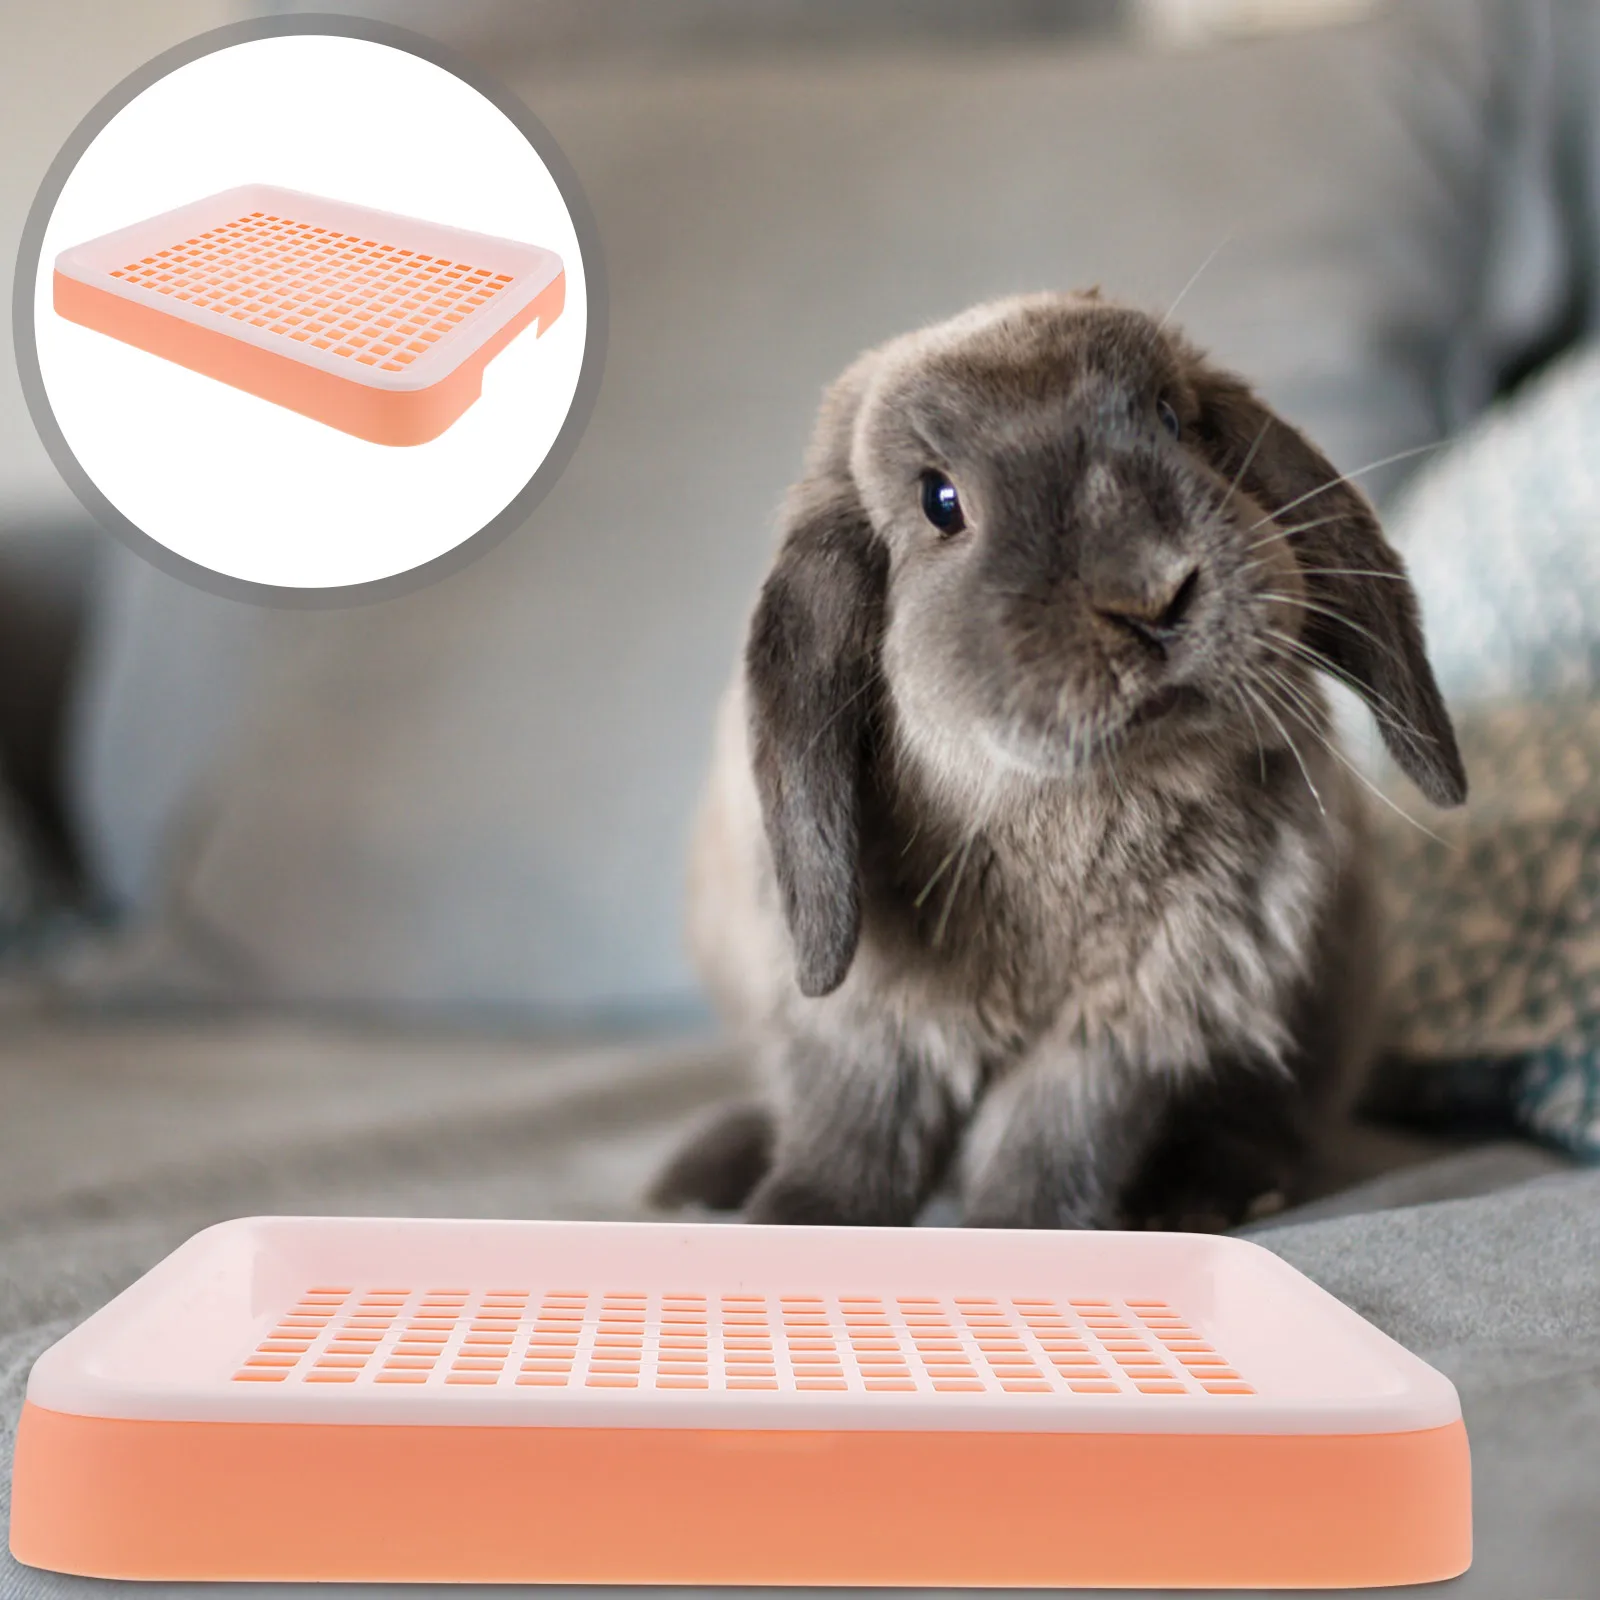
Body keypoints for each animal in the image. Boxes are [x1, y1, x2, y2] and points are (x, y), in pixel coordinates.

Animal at [651, 290, 1466, 1231]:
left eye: (1171, 420)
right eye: (940, 502)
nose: (1152, 595)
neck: (1065, 812)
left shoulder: (1125, 1024)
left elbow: (1052, 1137)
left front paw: (1018, 1230)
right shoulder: (865, 1023)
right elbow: (853, 1132)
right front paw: (793, 1220)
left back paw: (1203, 1194)